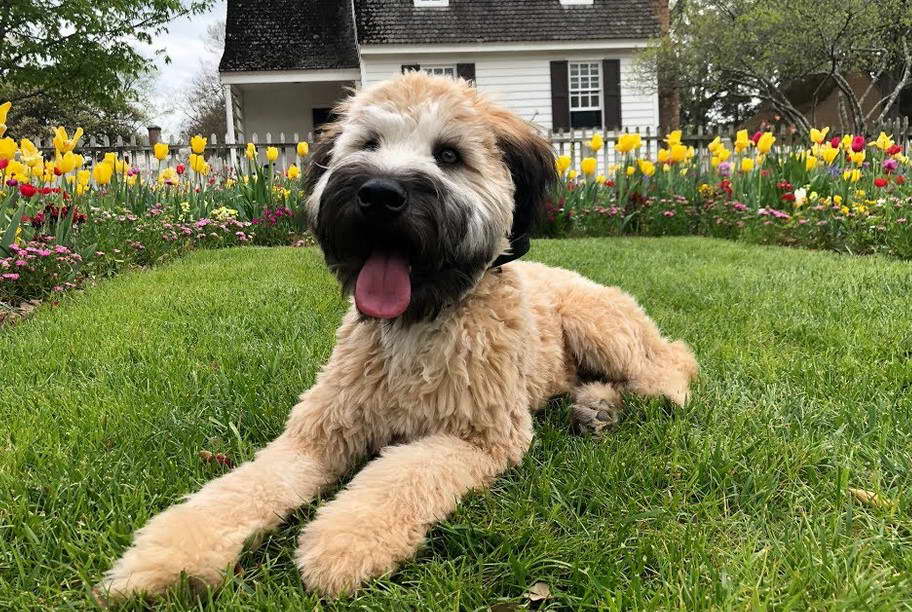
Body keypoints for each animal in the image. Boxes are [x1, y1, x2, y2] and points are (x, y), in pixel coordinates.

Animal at [94, 73, 700, 604]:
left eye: (449, 155)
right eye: (368, 143)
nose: (379, 194)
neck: (415, 327)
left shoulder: (474, 438)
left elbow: (397, 478)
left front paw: (343, 540)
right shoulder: (317, 431)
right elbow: (248, 484)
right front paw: (166, 556)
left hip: (600, 325)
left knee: (670, 368)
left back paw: (618, 401)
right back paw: (593, 406)